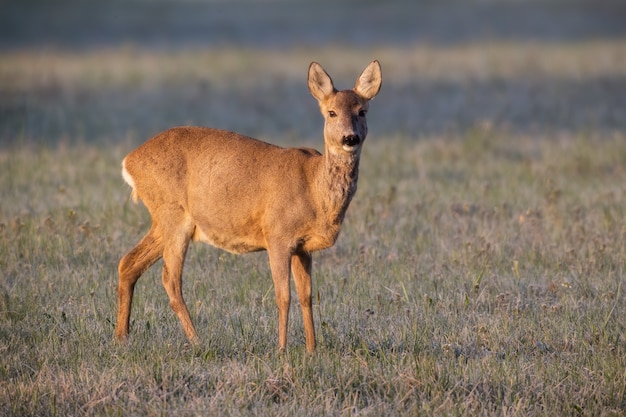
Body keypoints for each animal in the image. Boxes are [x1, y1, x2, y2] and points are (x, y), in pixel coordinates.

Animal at [114, 59, 382, 352]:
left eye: (362, 111)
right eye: (331, 113)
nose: (349, 138)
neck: (314, 189)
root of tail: (129, 162)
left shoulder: (302, 247)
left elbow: (307, 296)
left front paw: (312, 349)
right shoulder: (277, 235)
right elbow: (283, 296)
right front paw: (282, 349)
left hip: (165, 220)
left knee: (128, 263)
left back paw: (121, 337)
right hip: (173, 214)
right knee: (170, 279)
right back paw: (198, 341)